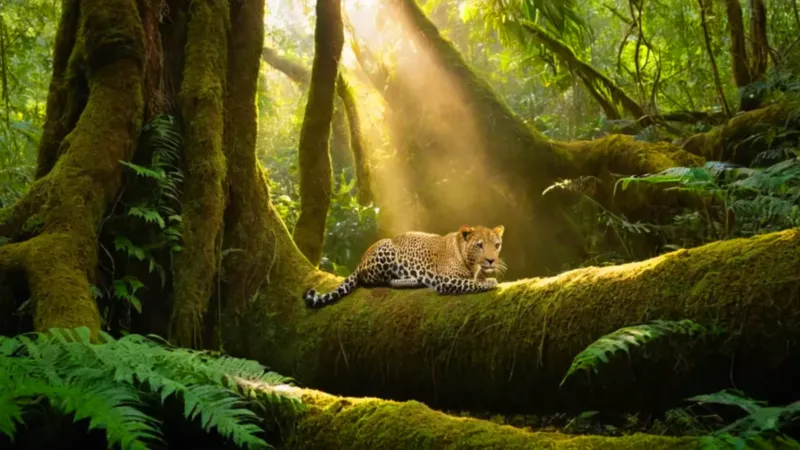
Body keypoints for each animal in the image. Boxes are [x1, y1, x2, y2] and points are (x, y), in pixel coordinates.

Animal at [304, 224, 506, 308]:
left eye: (497, 245)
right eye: (479, 245)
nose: (491, 260)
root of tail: (361, 260)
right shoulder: (444, 279)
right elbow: (472, 283)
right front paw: (490, 282)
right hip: (387, 251)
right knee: (376, 280)